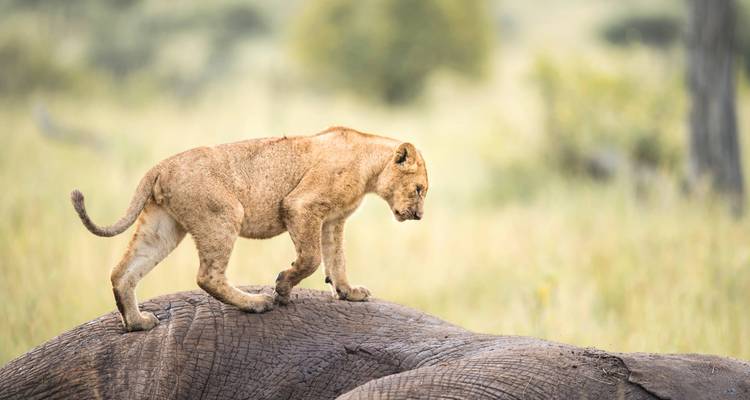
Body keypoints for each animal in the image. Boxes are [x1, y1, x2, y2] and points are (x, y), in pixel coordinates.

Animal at [71, 127, 429, 331]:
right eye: (419, 189)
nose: (419, 216)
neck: (370, 166)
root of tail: (159, 166)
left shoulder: (332, 220)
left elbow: (336, 260)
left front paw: (348, 292)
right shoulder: (301, 205)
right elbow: (311, 259)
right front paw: (282, 287)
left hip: (163, 227)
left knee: (123, 273)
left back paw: (137, 323)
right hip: (224, 214)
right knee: (207, 276)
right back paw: (255, 303)